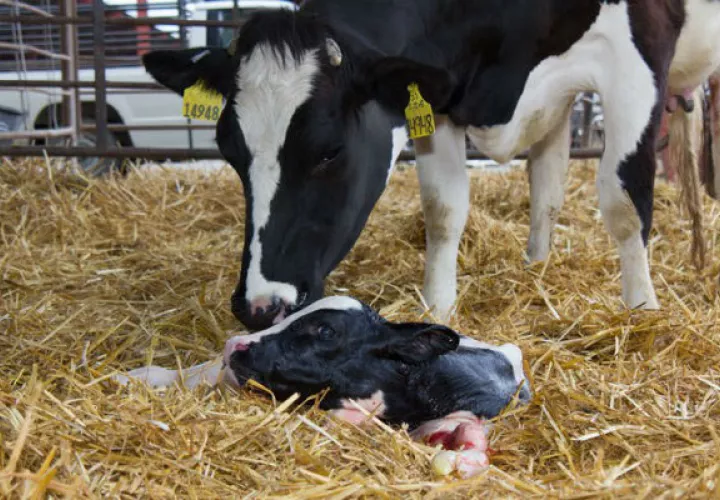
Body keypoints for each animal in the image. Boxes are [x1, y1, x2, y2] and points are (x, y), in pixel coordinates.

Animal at [142, 0, 720, 330]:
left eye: (329, 150)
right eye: (229, 150)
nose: (260, 307)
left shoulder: (636, 58)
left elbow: (624, 203)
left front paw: (642, 313)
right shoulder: (439, 94)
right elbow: (443, 209)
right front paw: (439, 307)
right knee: (547, 184)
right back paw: (536, 267)